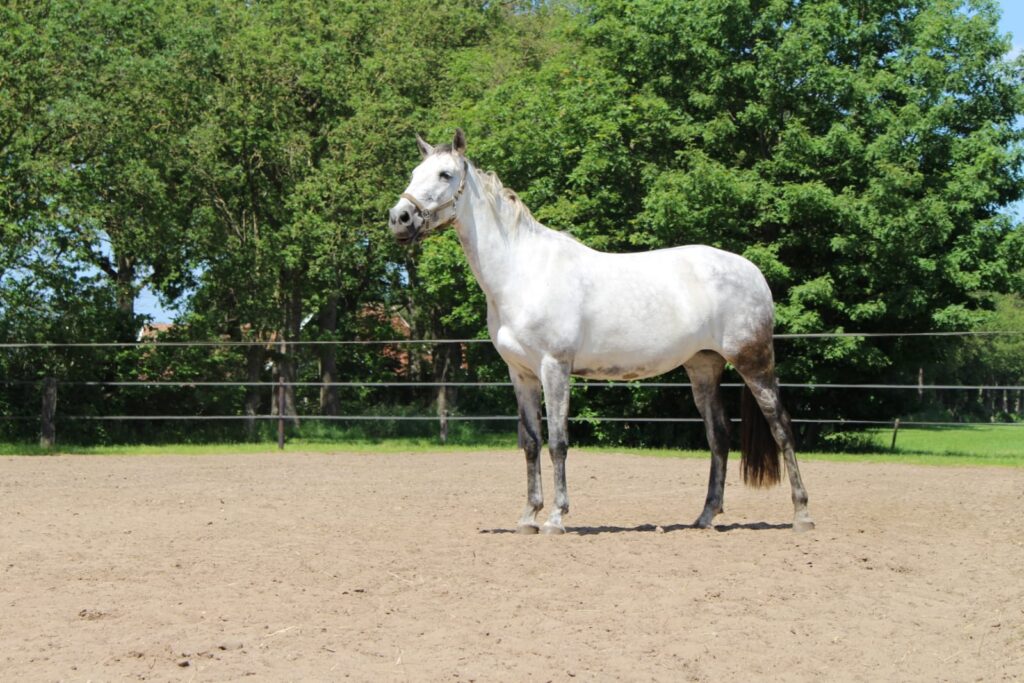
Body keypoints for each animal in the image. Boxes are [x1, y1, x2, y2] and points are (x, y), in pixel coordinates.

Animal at [387, 127, 811, 532]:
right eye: (414, 173)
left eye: (445, 174)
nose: (399, 218)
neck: (523, 271)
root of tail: (753, 272)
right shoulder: (521, 374)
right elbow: (530, 443)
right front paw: (528, 516)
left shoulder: (555, 368)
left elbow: (557, 442)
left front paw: (555, 519)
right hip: (703, 366)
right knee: (719, 436)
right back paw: (705, 517)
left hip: (753, 362)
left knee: (782, 428)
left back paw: (801, 514)